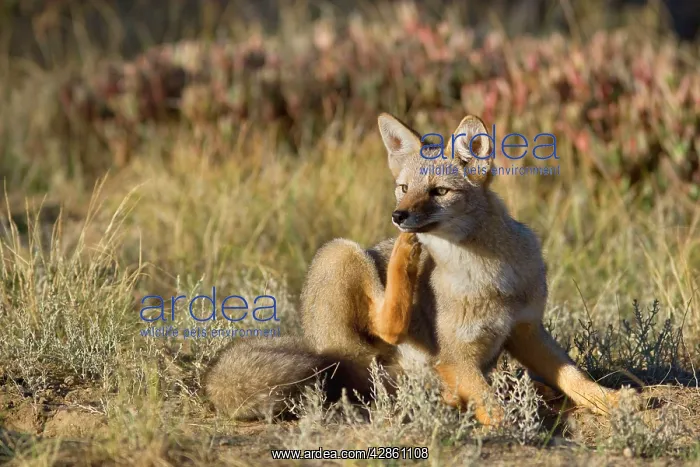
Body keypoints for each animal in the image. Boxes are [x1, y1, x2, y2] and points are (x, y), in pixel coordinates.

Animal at [204, 112, 628, 425]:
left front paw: (614, 402)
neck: (489, 277)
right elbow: (491, 403)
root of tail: (312, 342)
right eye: (404, 188)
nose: (399, 216)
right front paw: (506, 421)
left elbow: (575, 376)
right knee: (386, 327)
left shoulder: (526, 330)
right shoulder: (455, 356)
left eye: (439, 191)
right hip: (341, 252)